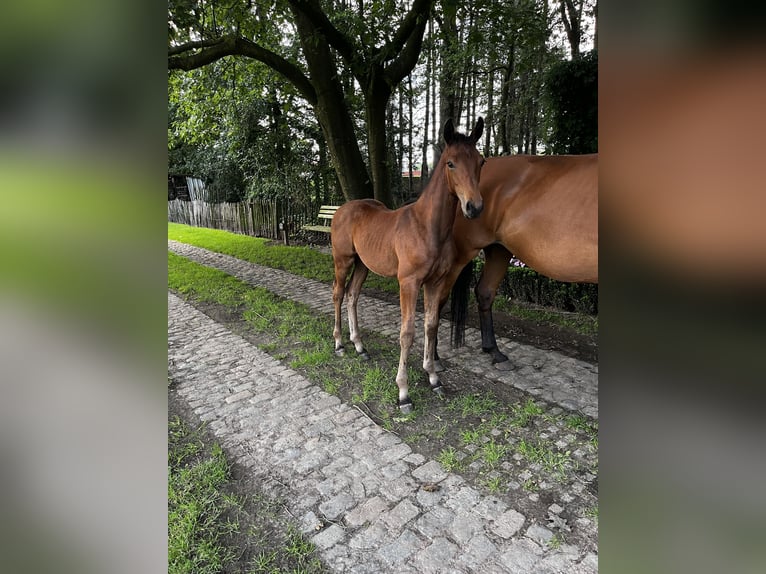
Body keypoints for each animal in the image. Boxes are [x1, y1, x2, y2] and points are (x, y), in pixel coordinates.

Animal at [330, 118, 486, 414]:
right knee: (338, 295)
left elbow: (431, 326)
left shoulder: (435, 282)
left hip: (363, 264)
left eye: (481, 161)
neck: (428, 228)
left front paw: (433, 377)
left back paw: (359, 346)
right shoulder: (409, 283)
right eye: (450, 163)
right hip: (342, 260)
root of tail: (341, 209)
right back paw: (339, 343)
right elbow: (407, 333)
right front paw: (403, 392)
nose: (474, 207)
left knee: (353, 296)